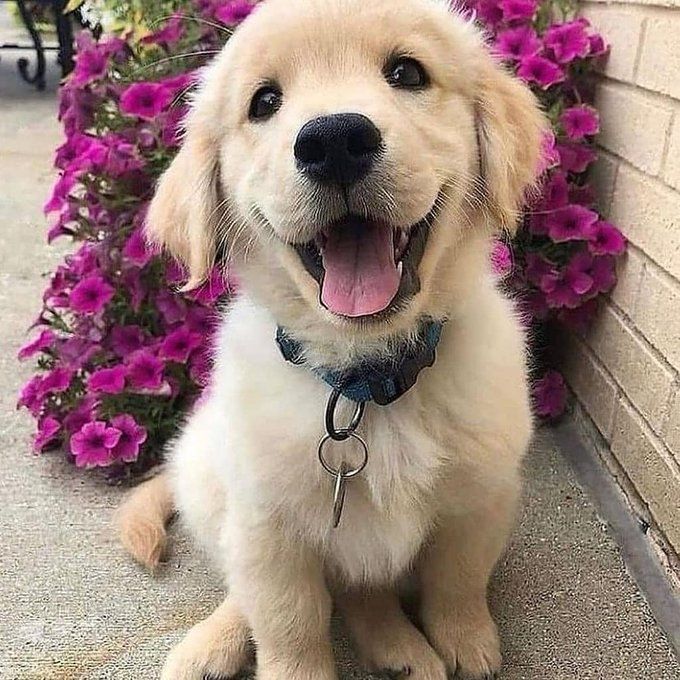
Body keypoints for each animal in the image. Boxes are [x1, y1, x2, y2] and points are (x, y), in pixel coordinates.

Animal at [115, 0, 540, 676]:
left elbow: (457, 581)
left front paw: (466, 640)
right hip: (206, 472)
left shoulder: (481, 500)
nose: (334, 140)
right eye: (264, 102)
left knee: (365, 595)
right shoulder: (267, 529)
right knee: (250, 587)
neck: (365, 380)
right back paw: (212, 645)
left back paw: (403, 652)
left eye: (407, 72)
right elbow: (289, 623)